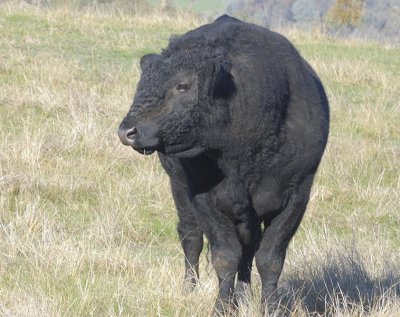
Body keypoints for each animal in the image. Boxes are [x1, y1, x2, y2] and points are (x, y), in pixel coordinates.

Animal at [116, 14, 328, 314]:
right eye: (141, 83)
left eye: (182, 85)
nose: (127, 131)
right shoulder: (203, 196)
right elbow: (225, 256)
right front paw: (222, 308)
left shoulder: (297, 194)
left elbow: (270, 257)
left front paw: (269, 307)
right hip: (179, 187)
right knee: (191, 236)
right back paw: (190, 290)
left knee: (249, 247)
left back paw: (243, 294)